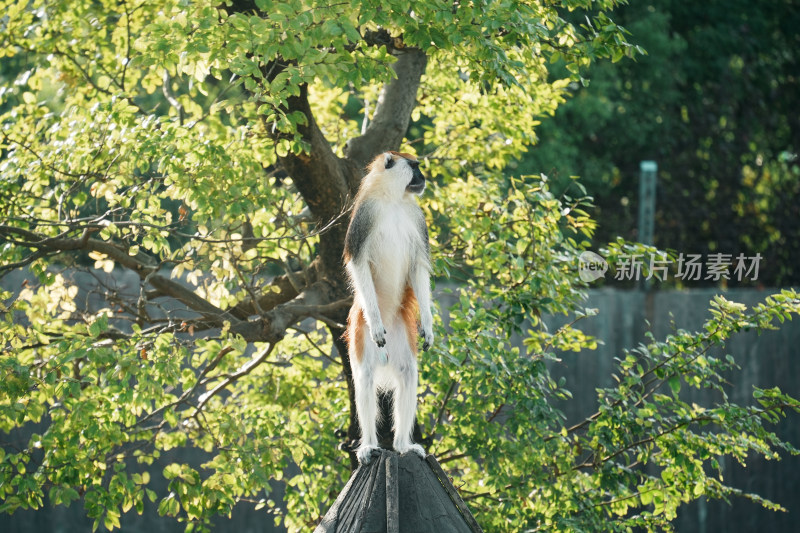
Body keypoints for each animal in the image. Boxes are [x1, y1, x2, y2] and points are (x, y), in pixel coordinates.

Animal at [342, 152, 434, 464]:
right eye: (414, 166)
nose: (423, 176)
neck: (394, 199)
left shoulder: (417, 219)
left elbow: (418, 266)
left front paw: (428, 326)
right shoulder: (364, 216)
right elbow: (358, 264)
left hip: (401, 332)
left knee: (407, 373)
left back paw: (403, 445)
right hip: (360, 333)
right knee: (365, 378)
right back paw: (370, 444)